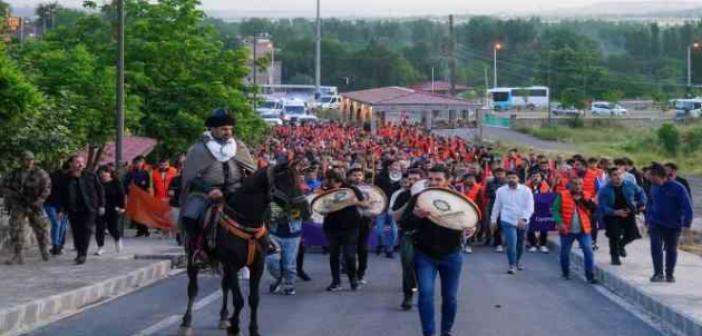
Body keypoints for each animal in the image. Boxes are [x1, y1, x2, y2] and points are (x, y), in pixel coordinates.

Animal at [180, 161, 306, 336]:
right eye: (287, 181)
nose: (305, 207)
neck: (246, 222)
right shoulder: (232, 265)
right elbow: (238, 300)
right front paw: (234, 327)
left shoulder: (256, 265)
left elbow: (253, 299)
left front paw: (252, 329)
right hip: (193, 257)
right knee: (193, 288)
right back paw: (186, 323)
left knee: (225, 286)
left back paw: (223, 317)